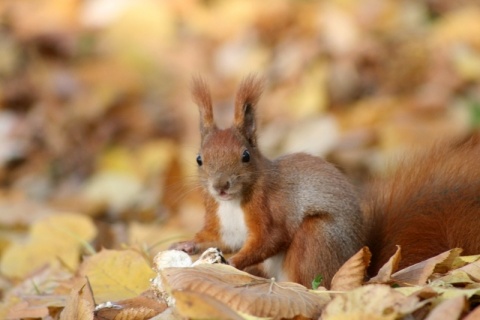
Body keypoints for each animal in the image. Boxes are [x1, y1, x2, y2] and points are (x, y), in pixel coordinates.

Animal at [169, 75, 480, 290]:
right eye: (199, 159)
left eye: (245, 156)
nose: (221, 186)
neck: (232, 203)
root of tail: (364, 271)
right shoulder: (221, 221)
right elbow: (218, 238)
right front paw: (186, 245)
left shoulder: (269, 209)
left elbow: (271, 238)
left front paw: (232, 262)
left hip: (317, 238)